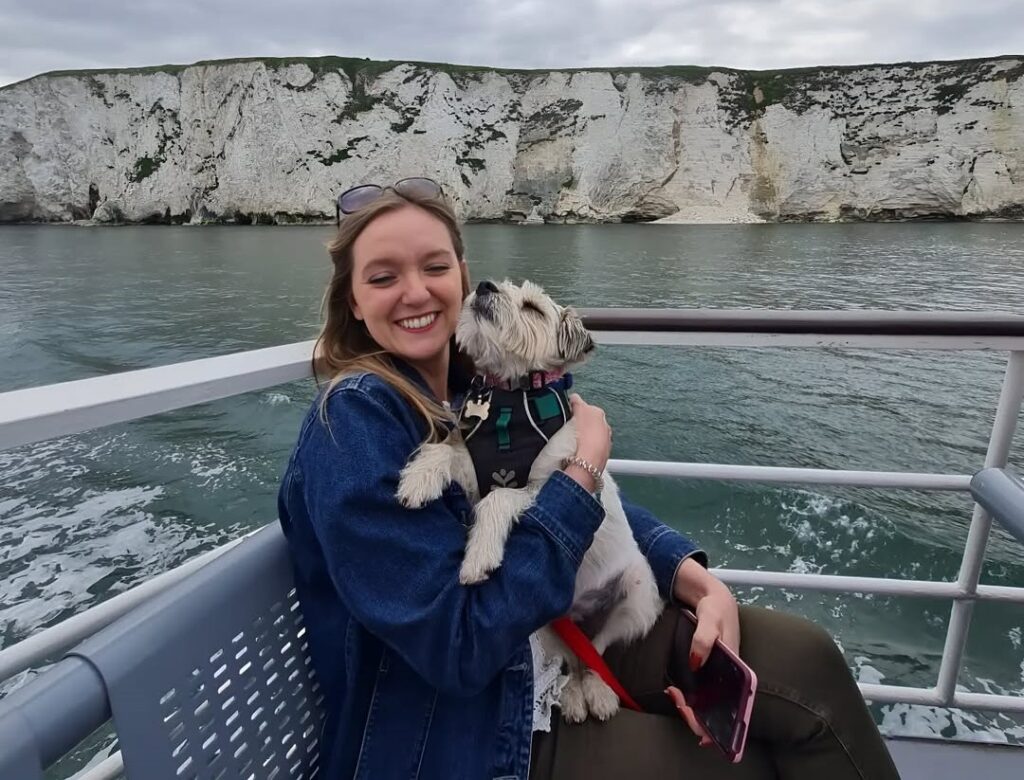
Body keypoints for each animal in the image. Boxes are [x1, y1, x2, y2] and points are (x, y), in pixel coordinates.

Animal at [395, 280, 659, 724]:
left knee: (599, 651)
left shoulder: (551, 483)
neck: (510, 397)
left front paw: (478, 558)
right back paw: (572, 696)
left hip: (638, 595)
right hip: (543, 620)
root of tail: (580, 613)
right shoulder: (473, 471)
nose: (484, 285)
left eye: (533, 308)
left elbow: (501, 496)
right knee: (573, 657)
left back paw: (598, 693)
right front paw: (418, 479)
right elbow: (444, 450)